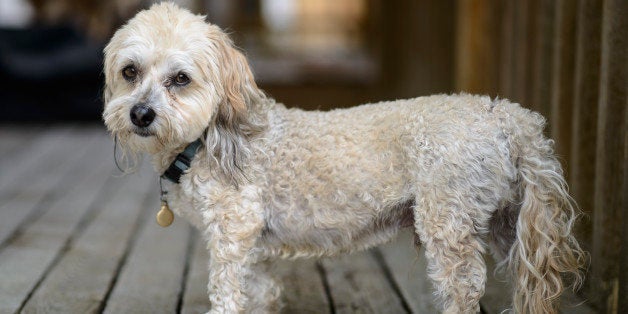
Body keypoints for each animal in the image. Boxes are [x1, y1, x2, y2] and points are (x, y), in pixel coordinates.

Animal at [100, 3, 588, 314]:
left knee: (465, 291)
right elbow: (258, 292)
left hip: (448, 226)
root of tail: (509, 115)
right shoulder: (252, 247)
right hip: (508, 225)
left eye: (180, 79)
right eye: (130, 72)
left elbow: (227, 293)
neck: (204, 140)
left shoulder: (232, 230)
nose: (140, 114)